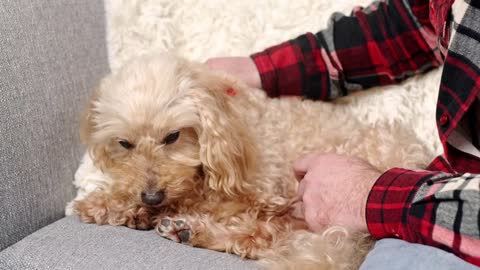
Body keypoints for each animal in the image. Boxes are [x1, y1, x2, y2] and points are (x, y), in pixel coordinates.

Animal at [74, 53, 432, 270]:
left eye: (172, 136)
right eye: (125, 143)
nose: (151, 196)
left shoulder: (253, 191)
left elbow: (197, 199)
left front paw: (139, 209)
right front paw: (108, 204)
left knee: (267, 235)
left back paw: (192, 229)